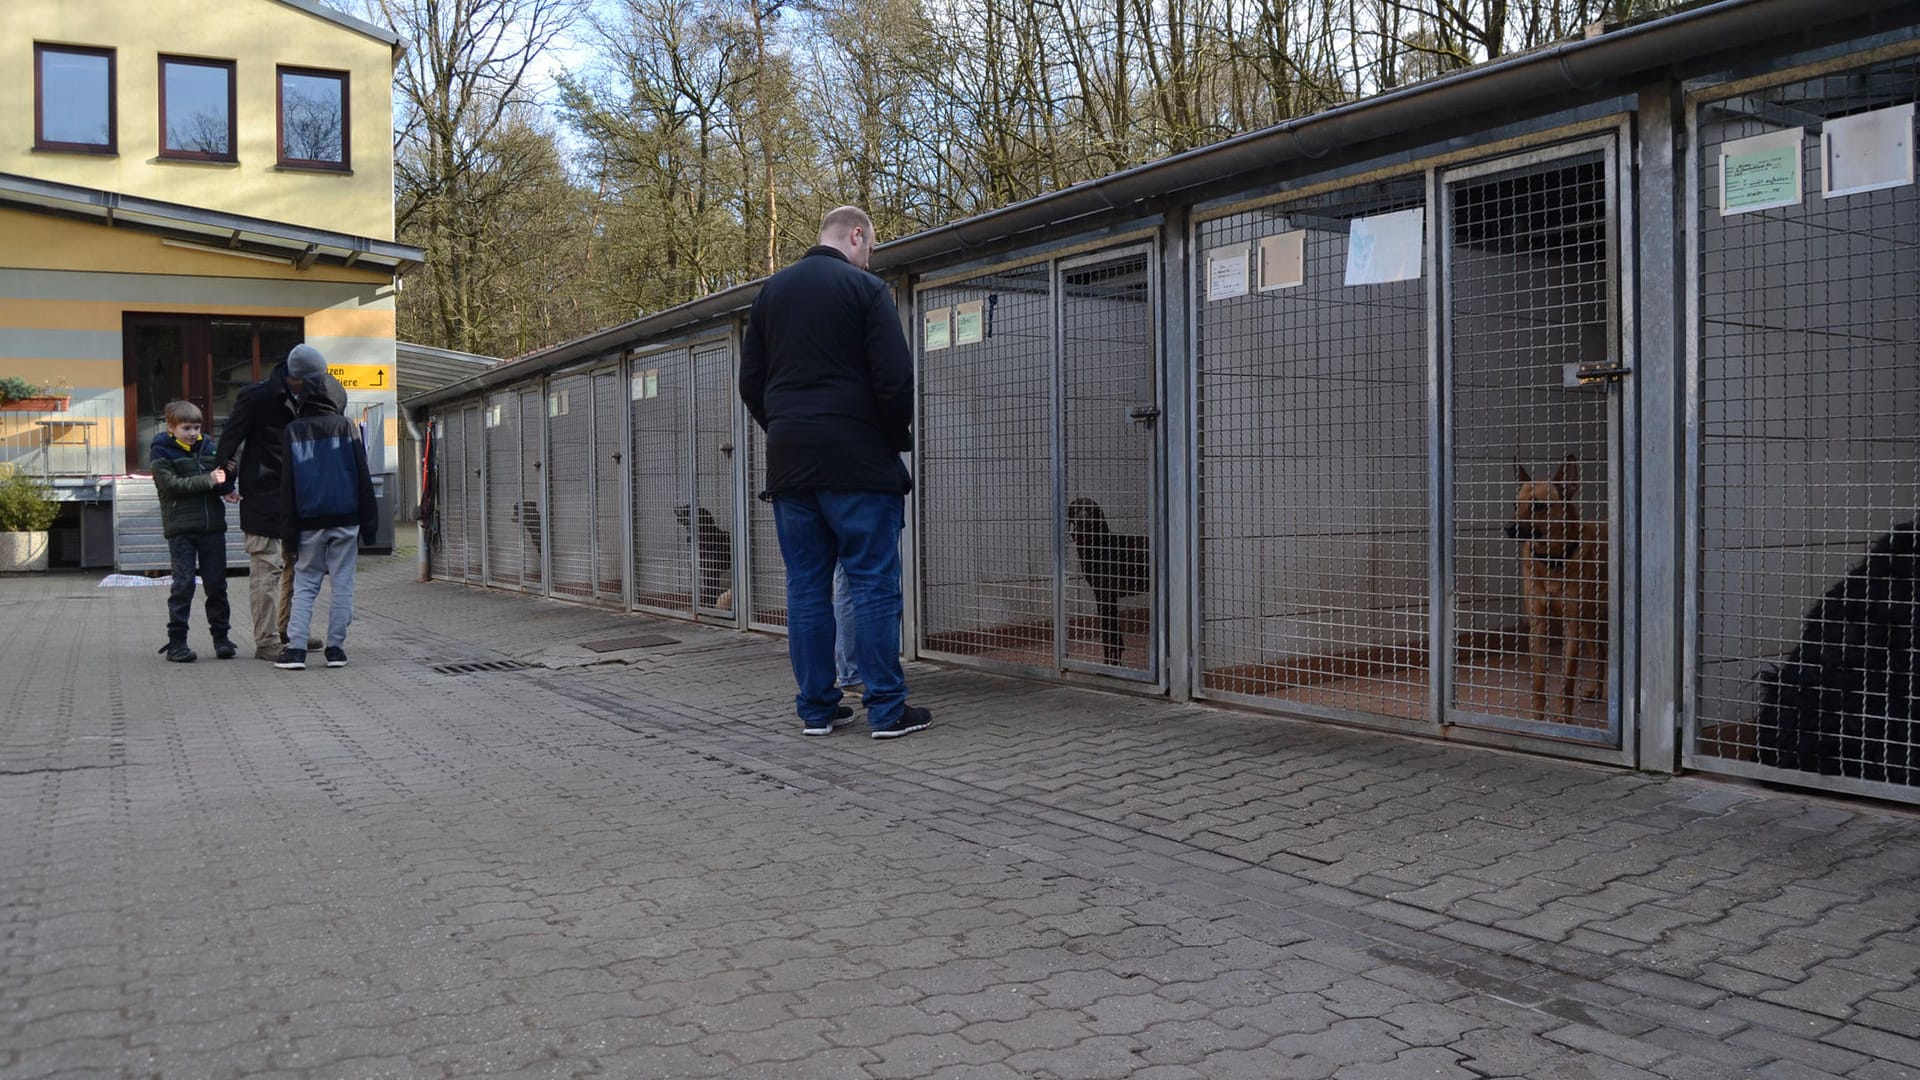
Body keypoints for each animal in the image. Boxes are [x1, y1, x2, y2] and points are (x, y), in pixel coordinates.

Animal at [1067, 495, 1136, 664]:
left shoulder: (1104, 596)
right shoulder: (1108, 598)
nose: (1083, 520)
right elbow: (1114, 635)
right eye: (1076, 508)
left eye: (1091, 509)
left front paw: (1110, 663)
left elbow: (1108, 635)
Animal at [1497, 453, 1605, 714]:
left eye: (1538, 505)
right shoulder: (1538, 625)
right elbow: (1538, 681)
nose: (1508, 528)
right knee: (1599, 652)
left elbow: (1567, 682)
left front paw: (1564, 717)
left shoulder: (1572, 627)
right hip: (1589, 621)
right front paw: (1537, 716)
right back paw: (1596, 691)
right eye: (1515, 505)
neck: (1552, 561)